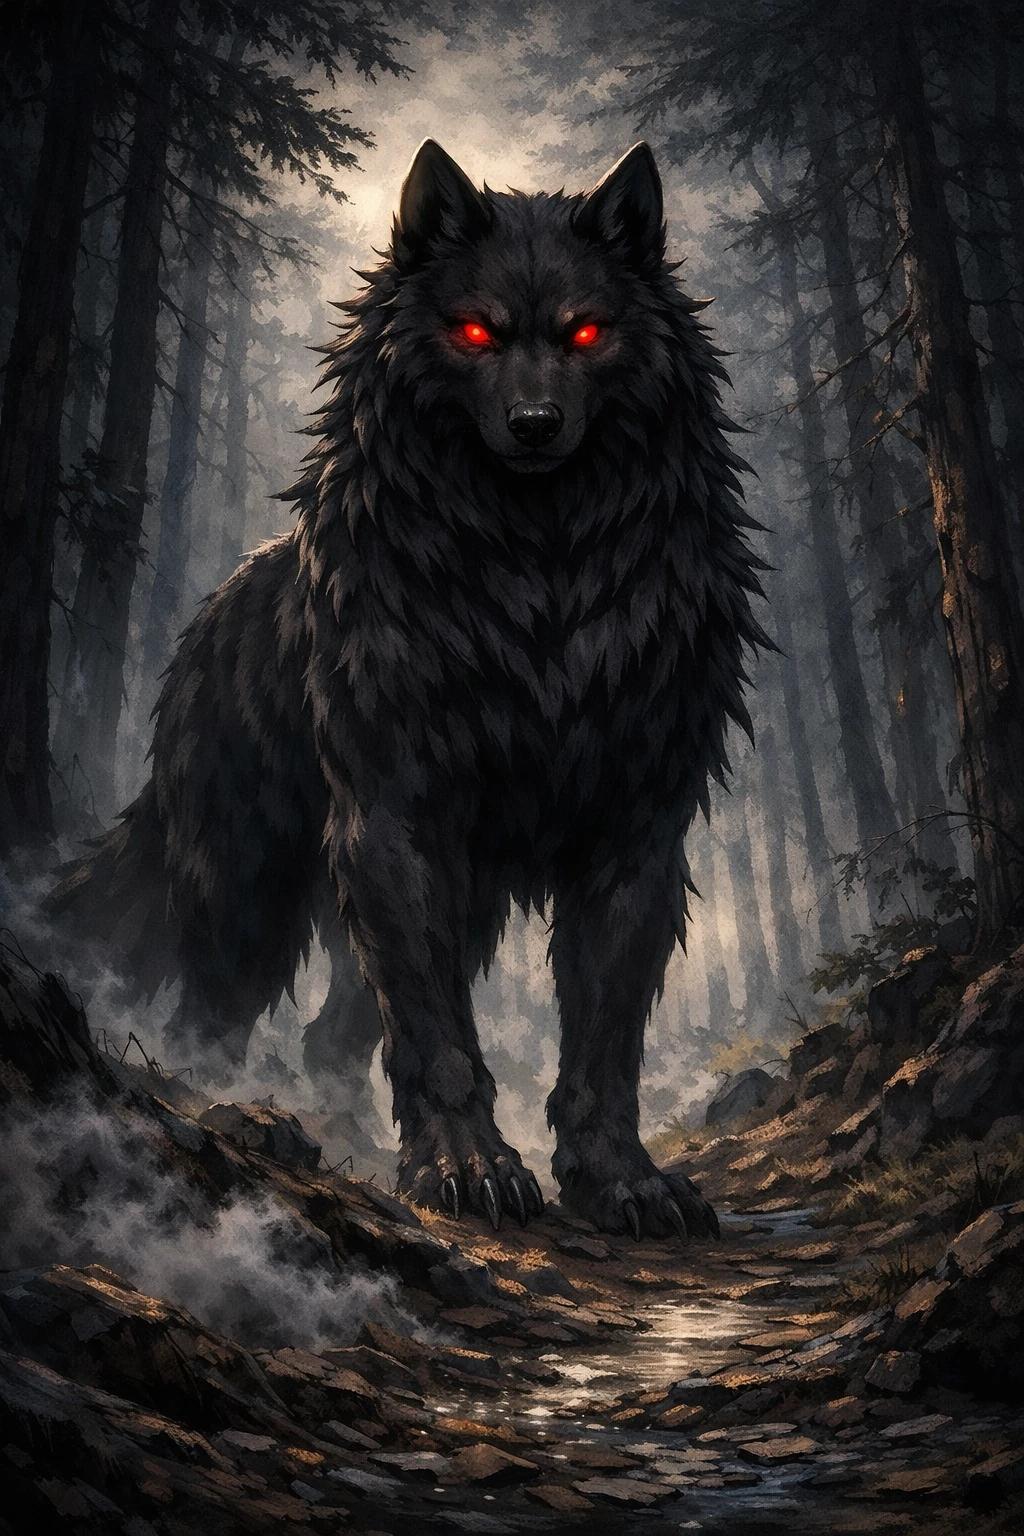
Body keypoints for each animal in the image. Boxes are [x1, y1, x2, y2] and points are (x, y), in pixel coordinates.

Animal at [50, 140, 768, 1238]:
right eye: (474, 330)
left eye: (586, 332)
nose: (533, 424)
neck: (537, 576)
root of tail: (210, 613)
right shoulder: (397, 821)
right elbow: (437, 1034)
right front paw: (466, 1171)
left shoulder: (633, 835)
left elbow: (604, 1038)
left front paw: (620, 1180)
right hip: (251, 885)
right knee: (211, 1012)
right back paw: (234, 1105)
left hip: (453, 903)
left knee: (330, 1034)